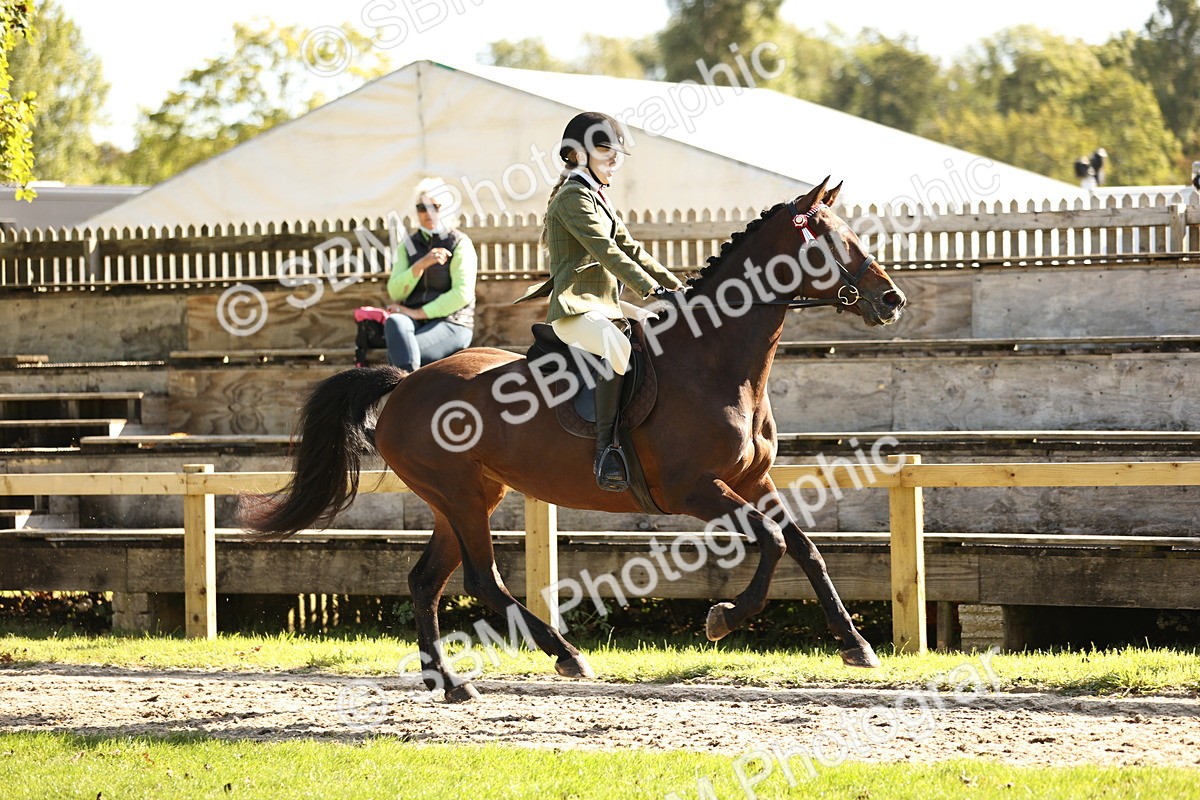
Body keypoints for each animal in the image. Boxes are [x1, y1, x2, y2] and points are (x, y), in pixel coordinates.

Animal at [242, 176, 907, 701]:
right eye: (832, 240)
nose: (891, 299)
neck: (715, 361)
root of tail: (406, 381)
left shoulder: (752, 479)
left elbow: (805, 546)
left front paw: (855, 645)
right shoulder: (696, 489)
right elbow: (770, 539)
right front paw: (723, 620)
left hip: (464, 499)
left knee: (427, 581)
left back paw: (450, 682)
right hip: (460, 496)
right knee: (481, 580)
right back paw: (562, 654)